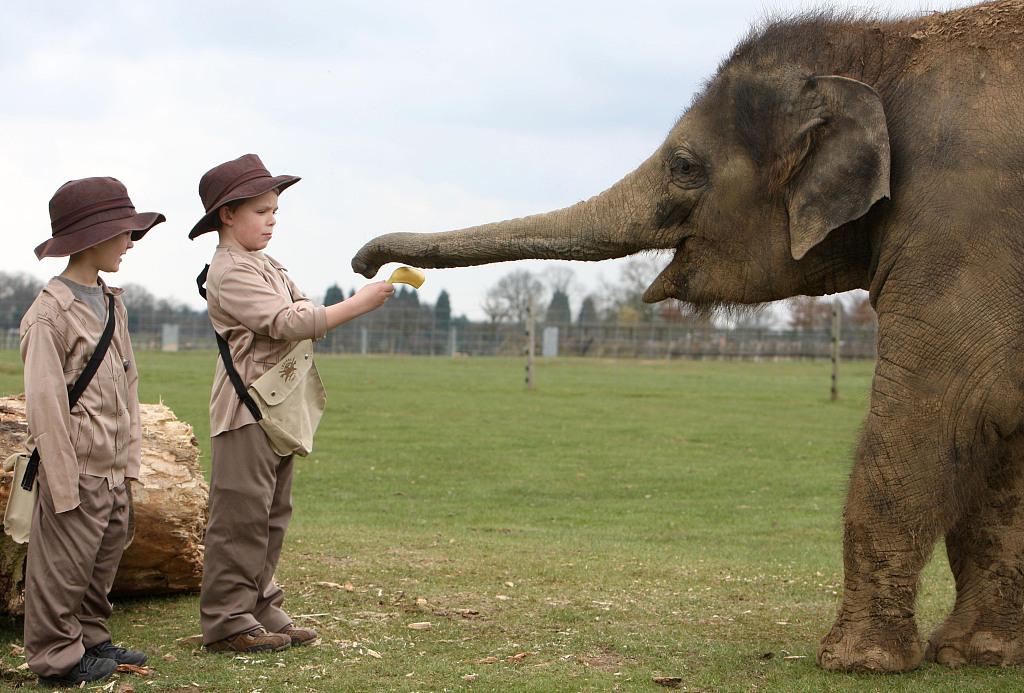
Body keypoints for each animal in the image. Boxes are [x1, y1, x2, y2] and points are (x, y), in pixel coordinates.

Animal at [356, 0, 1024, 671]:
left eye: (683, 166)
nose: (365, 264)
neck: (891, 41)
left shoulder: (960, 223)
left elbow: (946, 409)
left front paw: (856, 661)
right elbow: (1001, 442)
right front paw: (976, 653)